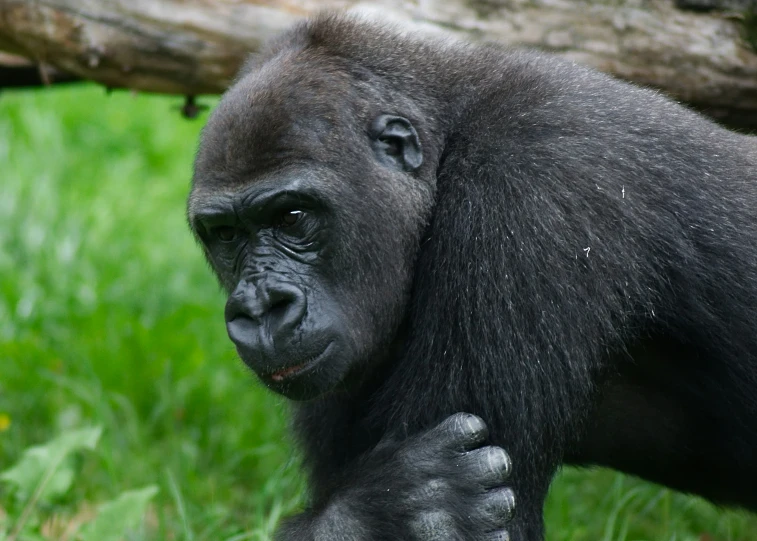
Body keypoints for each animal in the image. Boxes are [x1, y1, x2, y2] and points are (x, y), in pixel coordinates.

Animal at [188, 12, 756, 540]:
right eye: (225, 235)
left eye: (293, 218)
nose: (260, 309)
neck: (450, 135)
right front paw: (387, 509)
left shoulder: (524, 198)